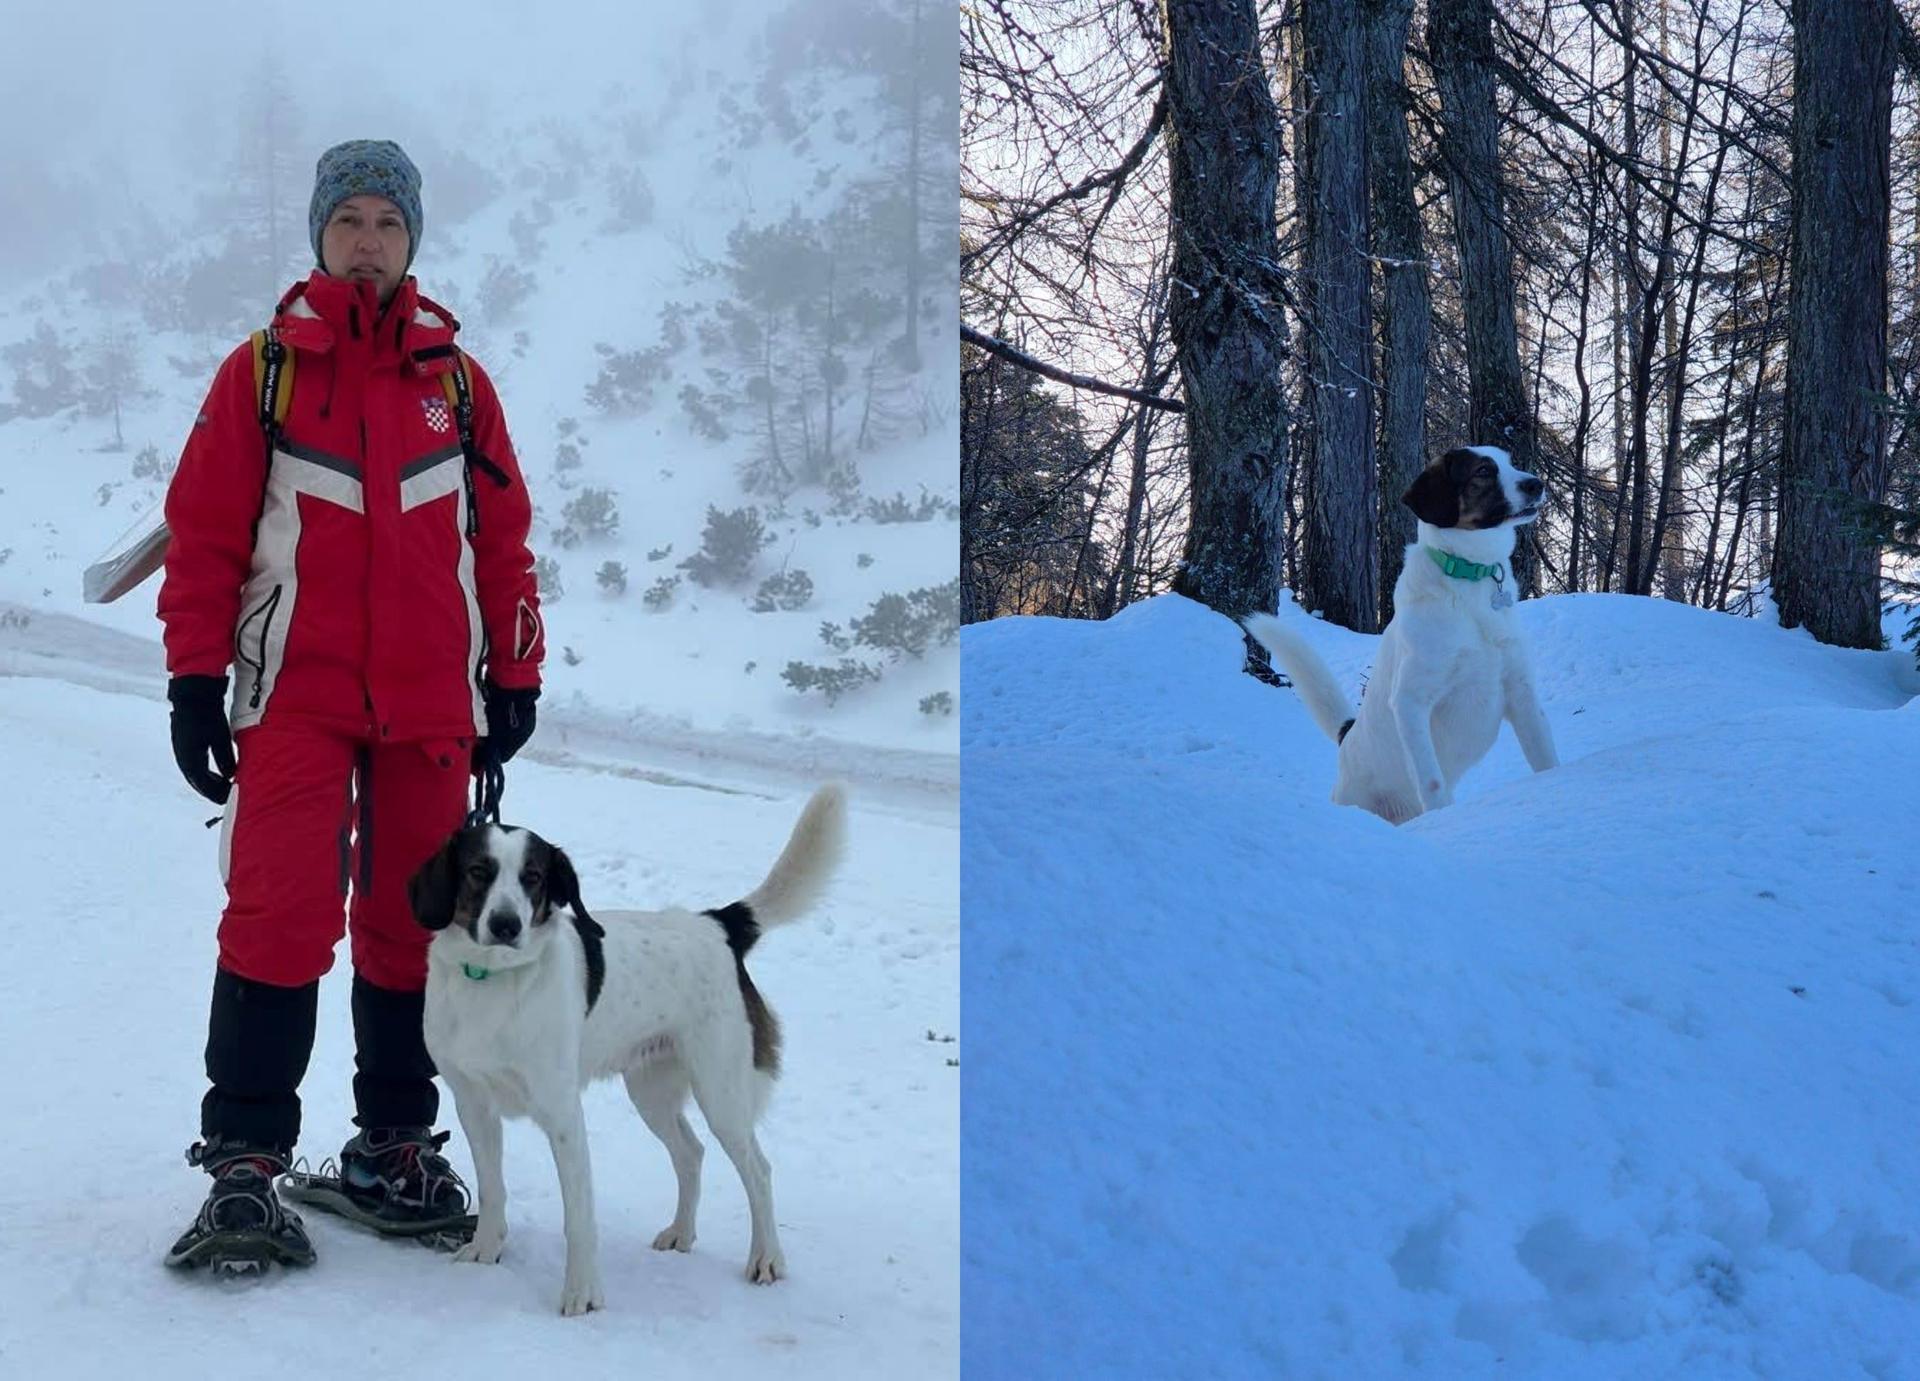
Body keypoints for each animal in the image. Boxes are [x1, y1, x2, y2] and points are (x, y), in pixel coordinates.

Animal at [408, 787, 844, 1321]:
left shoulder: (562, 1115)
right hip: (651, 1090)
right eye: (478, 871)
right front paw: (487, 1250)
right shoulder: (474, 1105)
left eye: (533, 877)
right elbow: (493, 1190)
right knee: (691, 1152)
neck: (491, 979)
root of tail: (716, 925)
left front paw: (582, 1293)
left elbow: (579, 1217)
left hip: (721, 1091)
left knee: (758, 1170)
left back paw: (766, 1258)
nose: (506, 924)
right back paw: (681, 1233)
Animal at [1244, 447, 1559, 825]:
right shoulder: (1411, 700)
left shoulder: (1520, 690)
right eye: (1483, 471)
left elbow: (1545, 756)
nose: (1537, 483)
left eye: (1510, 462)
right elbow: (1432, 782)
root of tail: (1347, 736)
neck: (1468, 580)